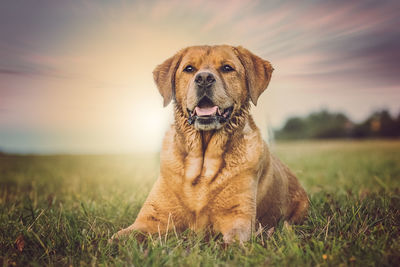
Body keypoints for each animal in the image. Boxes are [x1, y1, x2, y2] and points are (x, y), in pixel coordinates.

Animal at [111, 45, 308, 245]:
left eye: (227, 68)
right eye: (189, 69)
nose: (204, 78)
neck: (203, 161)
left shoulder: (238, 218)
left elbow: (232, 242)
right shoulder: (151, 217)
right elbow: (117, 238)